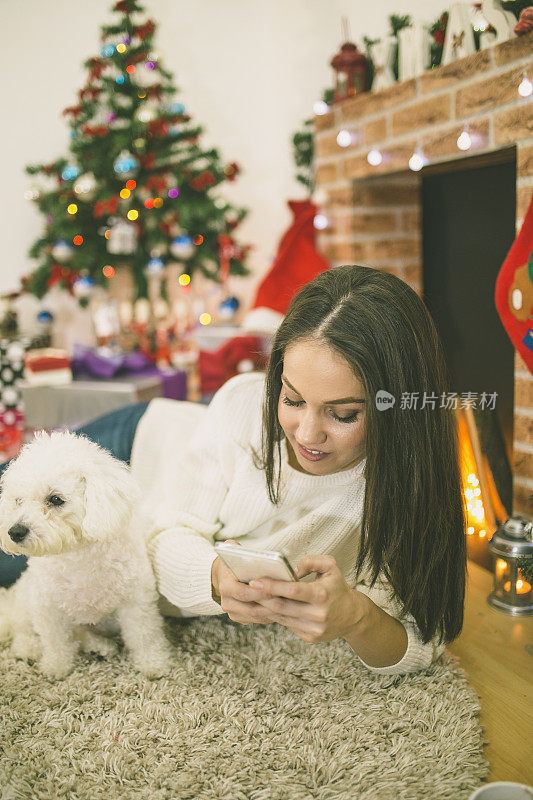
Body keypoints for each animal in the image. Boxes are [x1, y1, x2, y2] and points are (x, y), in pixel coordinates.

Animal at [0, 432, 171, 680]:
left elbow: (144, 635)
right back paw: (31, 649)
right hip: (26, 603)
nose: (14, 532)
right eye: (18, 501)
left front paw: (153, 663)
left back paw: (99, 647)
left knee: (81, 634)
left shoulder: (136, 601)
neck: (78, 556)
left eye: (55, 499)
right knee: (22, 634)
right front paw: (56, 668)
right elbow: (56, 641)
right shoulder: (47, 608)